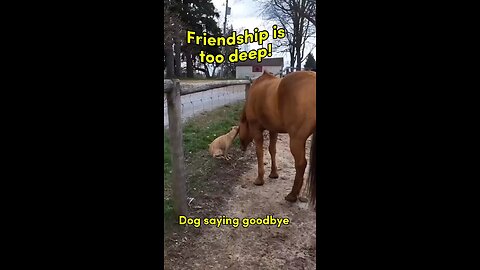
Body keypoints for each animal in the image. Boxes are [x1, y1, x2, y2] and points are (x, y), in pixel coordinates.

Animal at [239, 70, 316, 204]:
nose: (241, 146)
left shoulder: (256, 129)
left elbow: (260, 152)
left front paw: (260, 179)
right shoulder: (273, 130)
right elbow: (272, 150)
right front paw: (274, 173)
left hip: (296, 140)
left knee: (301, 164)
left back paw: (292, 195)